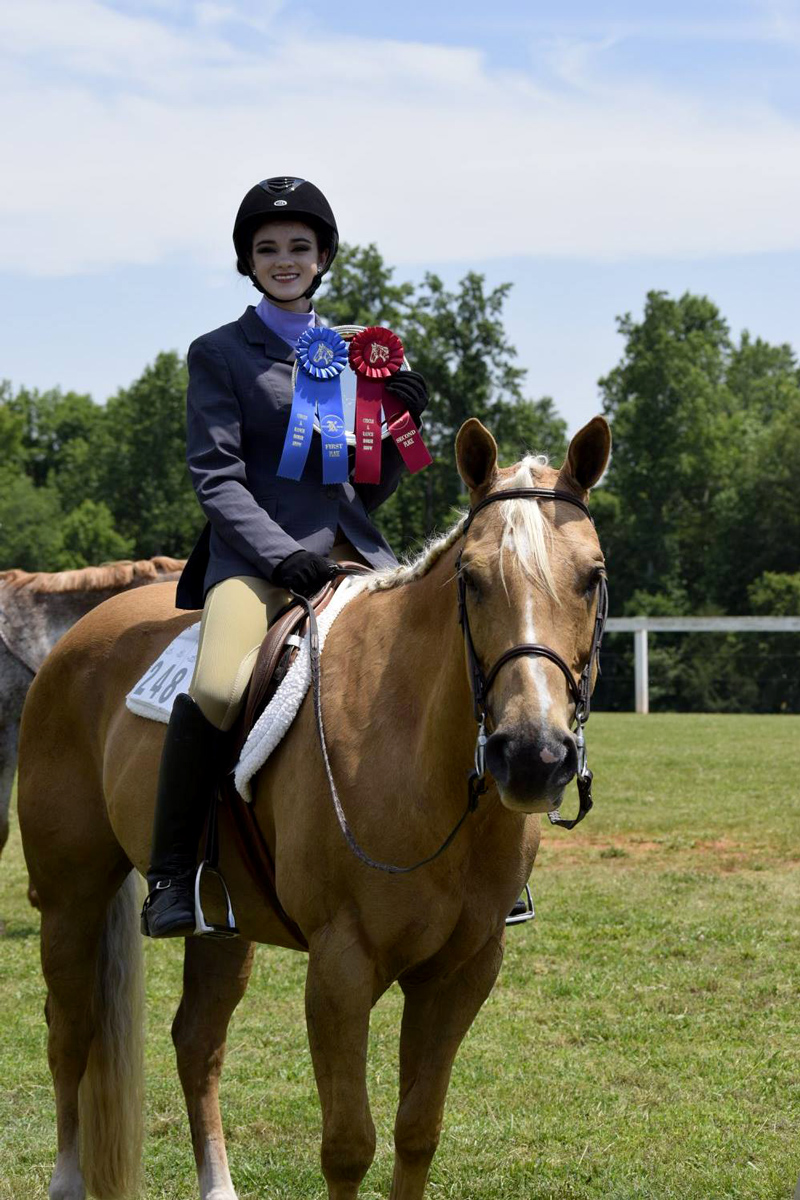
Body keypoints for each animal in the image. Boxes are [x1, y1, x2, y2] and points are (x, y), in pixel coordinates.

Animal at [20, 415, 614, 1200]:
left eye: (593, 578)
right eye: (472, 578)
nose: (533, 756)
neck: (417, 756)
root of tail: (79, 634)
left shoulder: (463, 971)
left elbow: (417, 1131)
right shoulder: (340, 967)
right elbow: (348, 1145)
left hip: (223, 921)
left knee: (196, 1041)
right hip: (70, 897)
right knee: (71, 1032)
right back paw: (67, 1180)